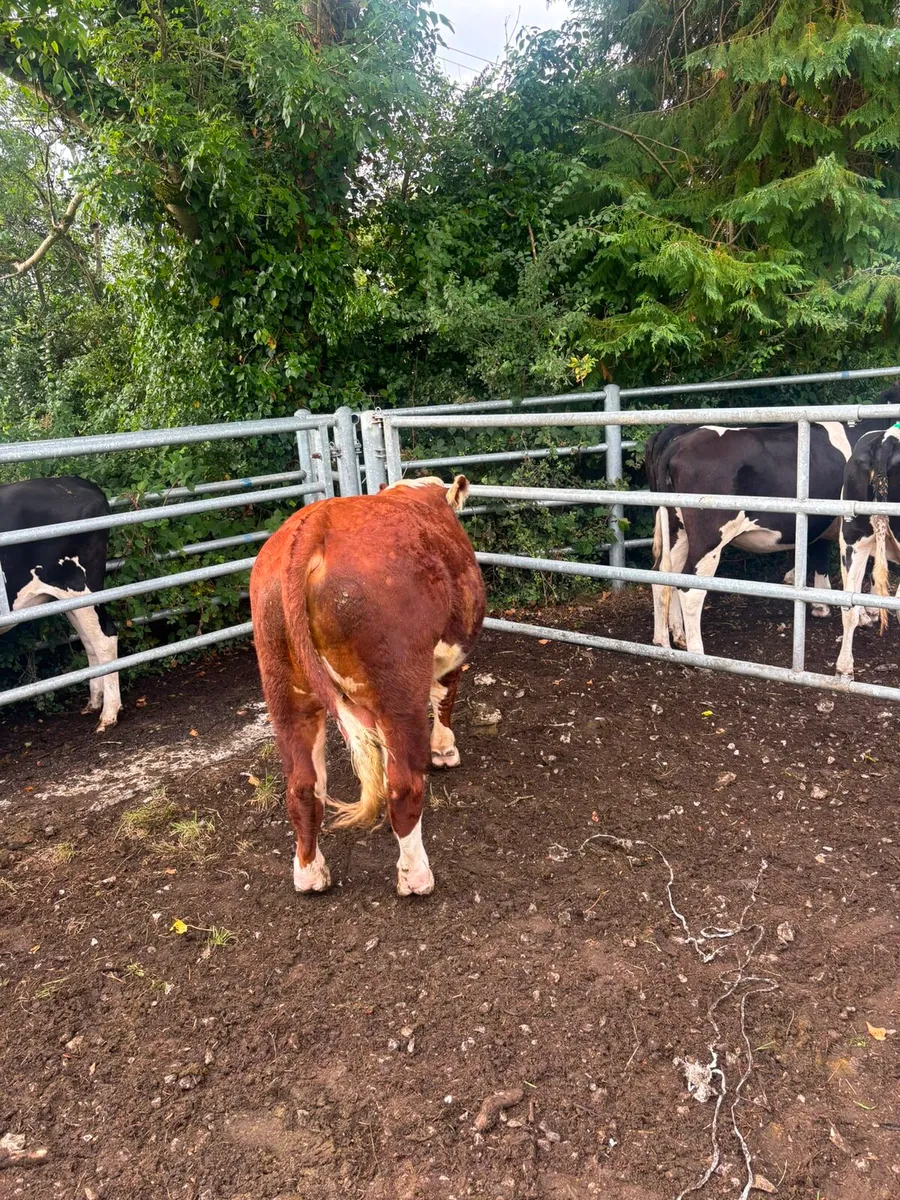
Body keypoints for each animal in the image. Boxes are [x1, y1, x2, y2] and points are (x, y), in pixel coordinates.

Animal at [1, 476, 121, 731]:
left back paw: (108, 713)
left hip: (81, 587)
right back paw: (95, 702)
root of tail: (78, 481)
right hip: (69, 599)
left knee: (104, 637)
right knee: (88, 641)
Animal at [249, 475, 486, 897]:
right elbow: (445, 696)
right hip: (398, 687)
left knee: (303, 785)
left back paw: (310, 874)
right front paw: (444, 750)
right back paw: (416, 876)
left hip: (284, 686)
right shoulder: (450, 653)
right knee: (404, 785)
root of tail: (315, 524)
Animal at [646, 416, 890, 655]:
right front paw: (866, 614)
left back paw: (666, 640)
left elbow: (821, 557)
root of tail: (680, 442)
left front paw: (821, 604)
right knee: (690, 587)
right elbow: (860, 573)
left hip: (677, 530)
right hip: (709, 536)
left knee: (663, 574)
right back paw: (697, 653)